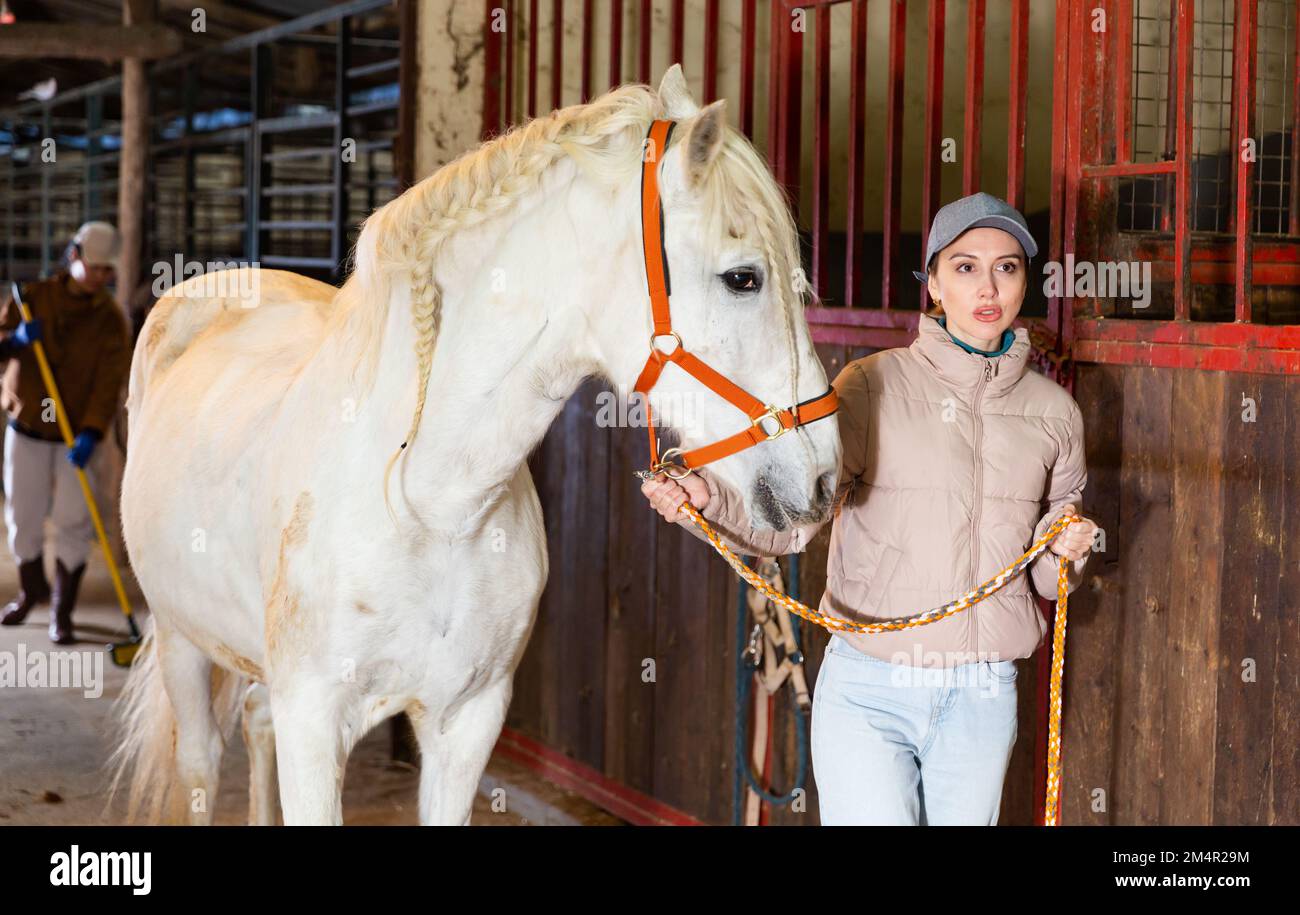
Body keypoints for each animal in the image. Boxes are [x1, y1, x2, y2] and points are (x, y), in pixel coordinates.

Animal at [109, 64, 842, 826]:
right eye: (743, 277)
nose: (824, 478)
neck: (427, 505)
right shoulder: (311, 723)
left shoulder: (468, 723)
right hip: (182, 642)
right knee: (201, 761)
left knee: (253, 726)